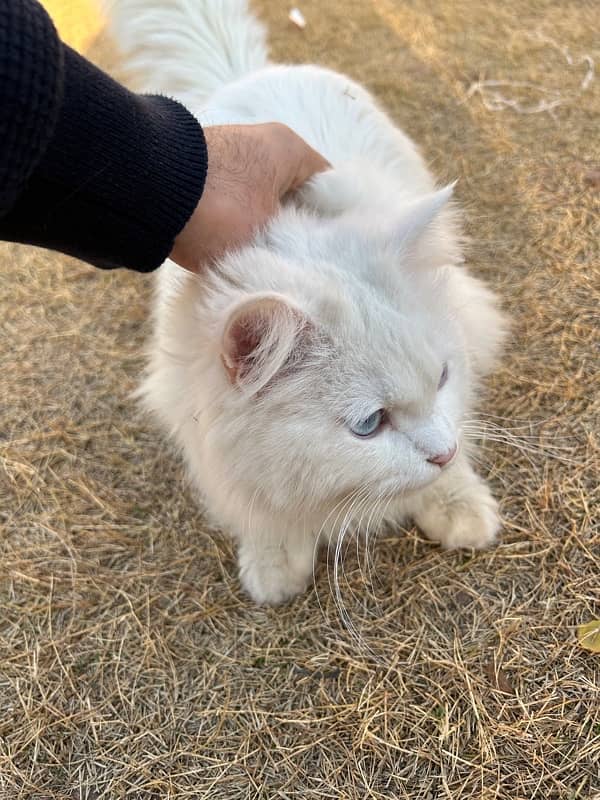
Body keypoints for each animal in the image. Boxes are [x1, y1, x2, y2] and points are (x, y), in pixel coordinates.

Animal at [108, 0, 506, 600]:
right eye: (369, 424)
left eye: (442, 378)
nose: (443, 453)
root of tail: (245, 73)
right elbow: (260, 508)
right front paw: (274, 562)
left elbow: (452, 447)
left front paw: (459, 505)